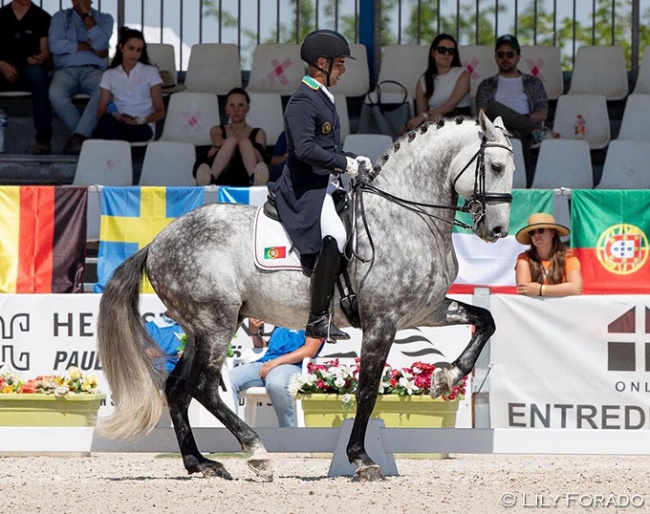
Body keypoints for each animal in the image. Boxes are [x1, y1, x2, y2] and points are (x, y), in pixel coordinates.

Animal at [97, 111, 512, 480]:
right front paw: (362, 459)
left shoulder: (426, 310)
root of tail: (156, 242)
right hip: (215, 323)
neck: (405, 219)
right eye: (494, 166)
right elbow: (367, 390)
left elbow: (486, 321)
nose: (498, 231)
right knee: (202, 387)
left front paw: (446, 377)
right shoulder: (382, 322)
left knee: (177, 388)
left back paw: (201, 463)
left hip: (199, 328)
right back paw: (257, 453)